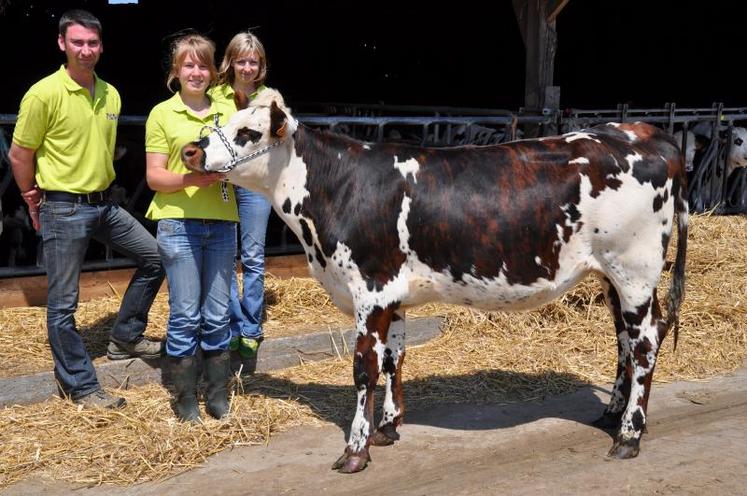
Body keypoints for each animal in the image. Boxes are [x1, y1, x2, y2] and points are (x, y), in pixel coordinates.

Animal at [181, 88, 688, 472]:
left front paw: (355, 450)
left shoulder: (370, 290)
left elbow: (364, 369)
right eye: (225, 120)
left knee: (644, 343)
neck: (337, 187)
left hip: (634, 270)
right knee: (623, 341)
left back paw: (628, 435)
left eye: (248, 133)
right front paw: (387, 428)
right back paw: (611, 414)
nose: (192, 150)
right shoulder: (393, 297)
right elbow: (394, 359)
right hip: (612, 277)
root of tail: (646, 134)